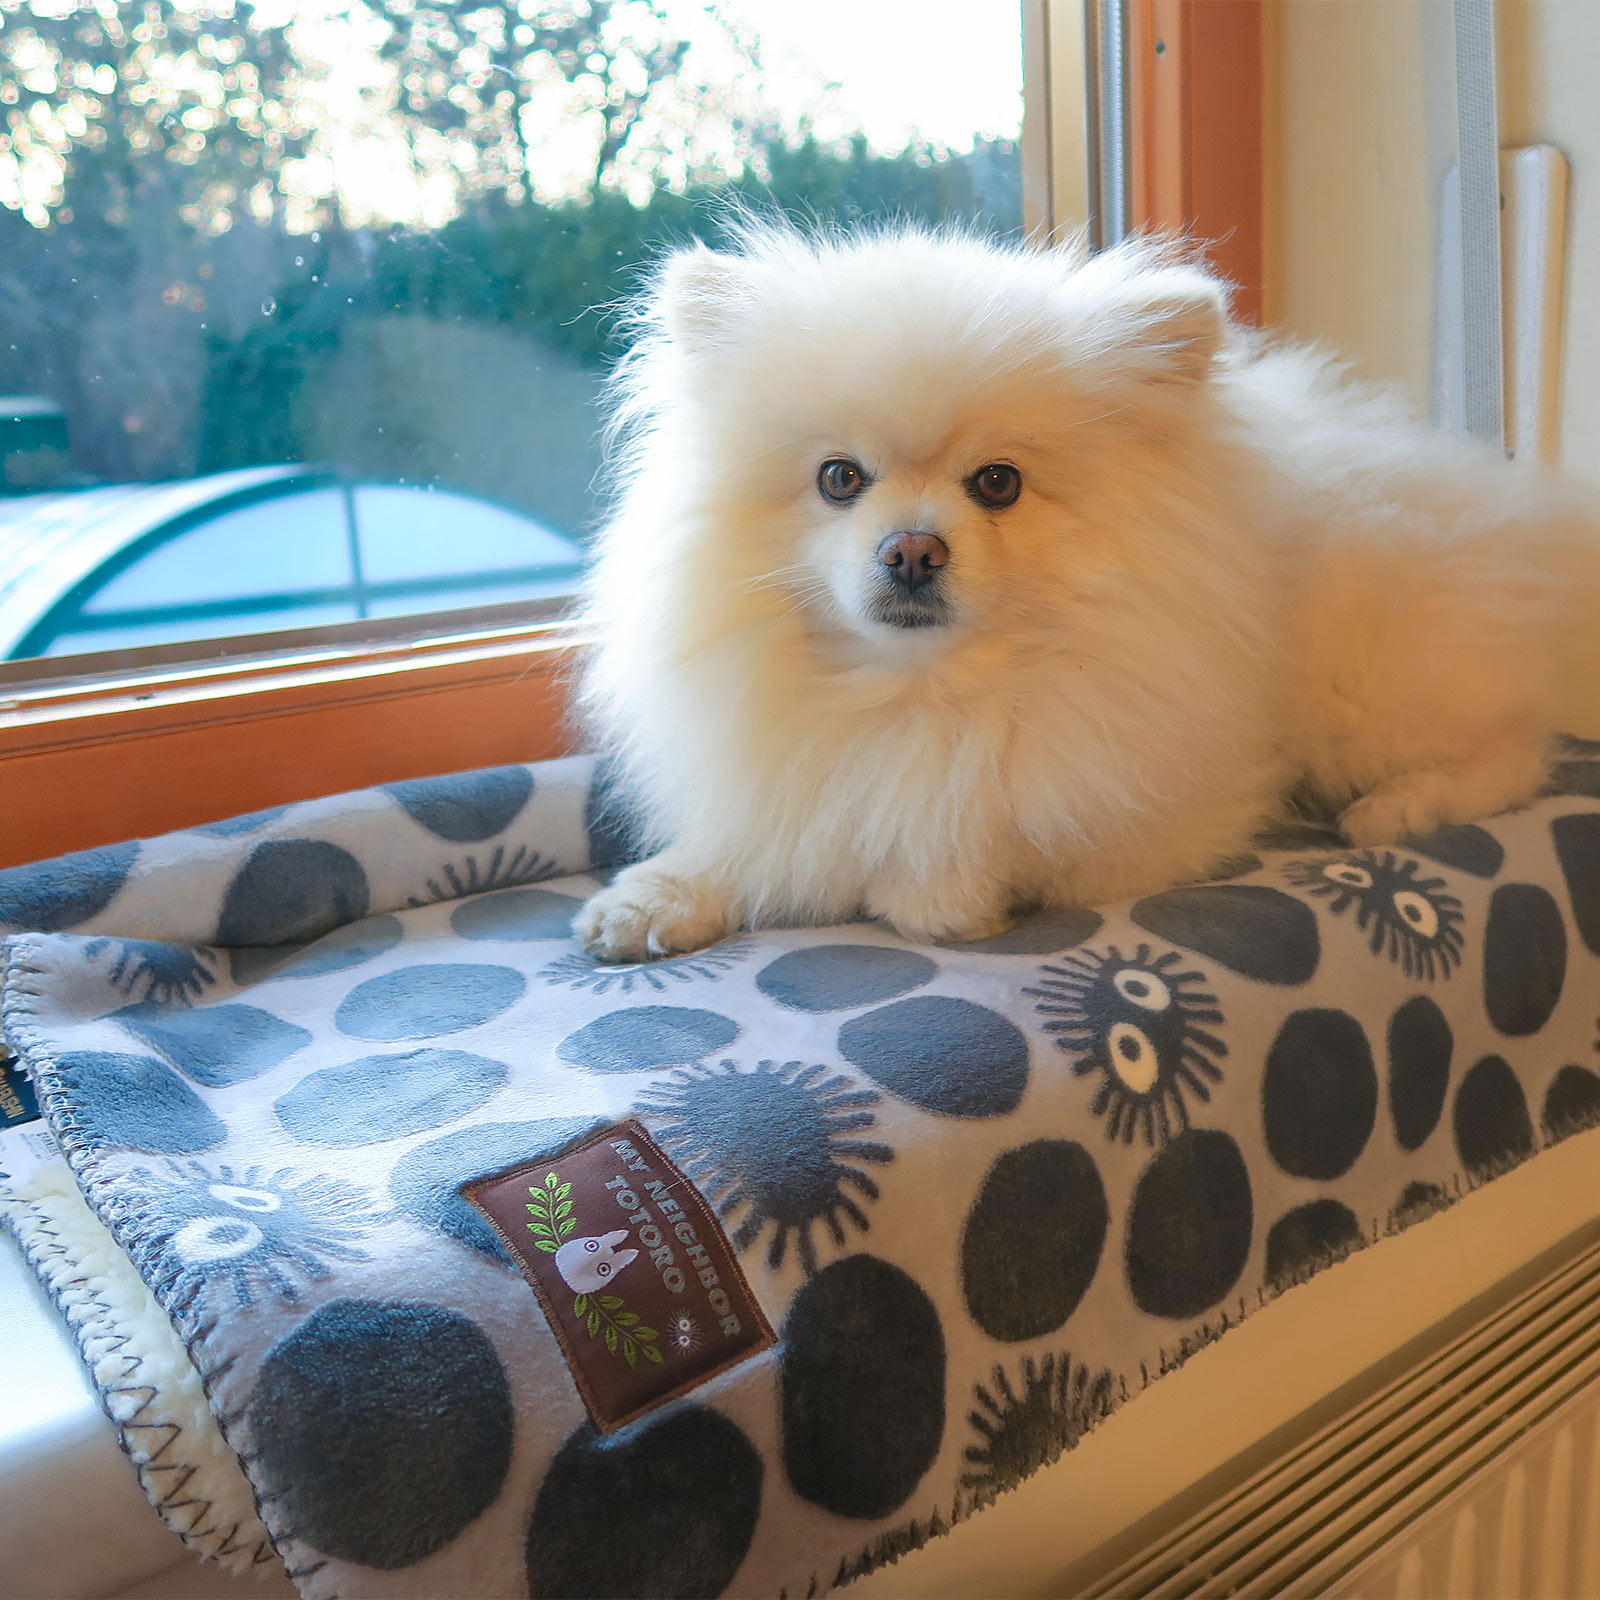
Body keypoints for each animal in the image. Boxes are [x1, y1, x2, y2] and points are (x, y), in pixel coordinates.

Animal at [576, 225, 1600, 960]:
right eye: (839, 479)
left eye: (997, 484)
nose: (912, 549)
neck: (930, 693)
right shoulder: (793, 772)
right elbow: (770, 838)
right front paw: (654, 899)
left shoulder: (1163, 811)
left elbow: (986, 844)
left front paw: (936, 894)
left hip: (1365, 687)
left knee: (1516, 751)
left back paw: (1394, 808)